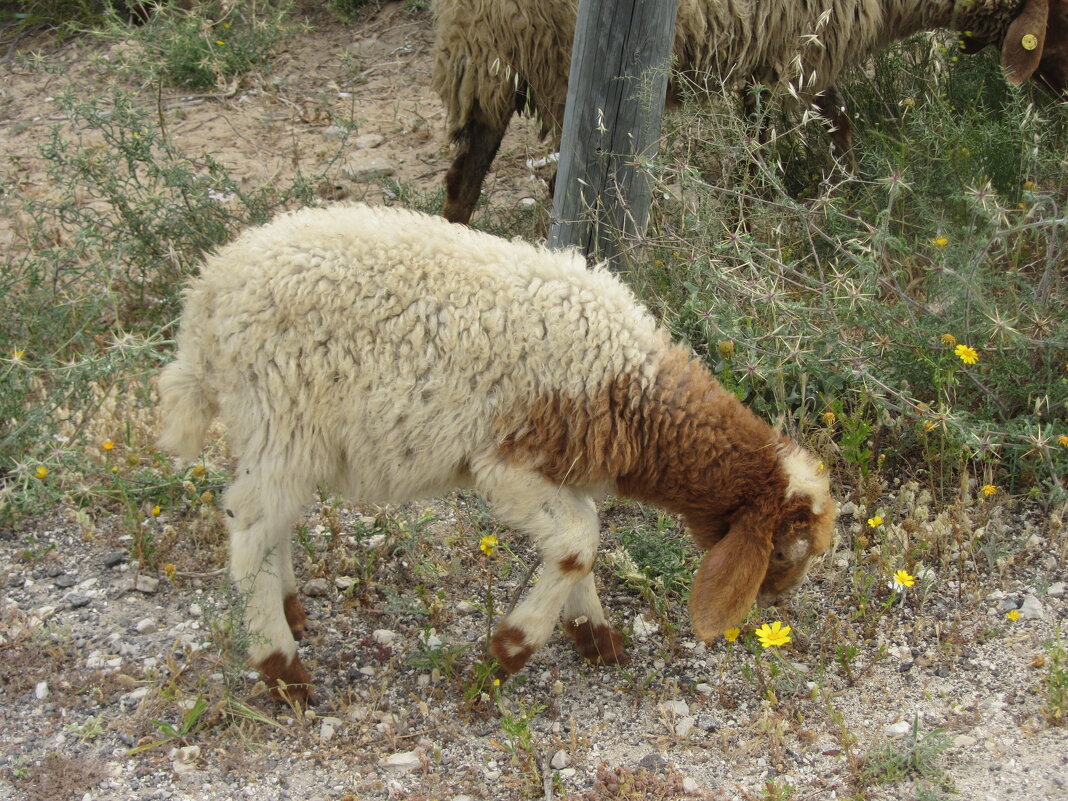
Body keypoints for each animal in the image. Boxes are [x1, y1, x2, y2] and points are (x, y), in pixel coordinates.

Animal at [160, 205, 841, 700]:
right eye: (784, 550)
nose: (777, 602)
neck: (632, 387)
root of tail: (204, 296)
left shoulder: (567, 472)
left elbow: (580, 547)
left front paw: (595, 639)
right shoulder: (507, 465)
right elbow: (579, 541)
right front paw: (508, 653)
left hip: (278, 435)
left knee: (271, 522)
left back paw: (291, 612)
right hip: (282, 417)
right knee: (248, 530)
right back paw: (284, 672)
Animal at [431, 0, 1068, 223]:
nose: (1062, 106)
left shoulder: (784, 54)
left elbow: (835, 124)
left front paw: (846, 192)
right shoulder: (798, 50)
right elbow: (782, 141)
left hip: (488, 65)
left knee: (464, 181)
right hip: (554, 65)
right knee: (566, 182)